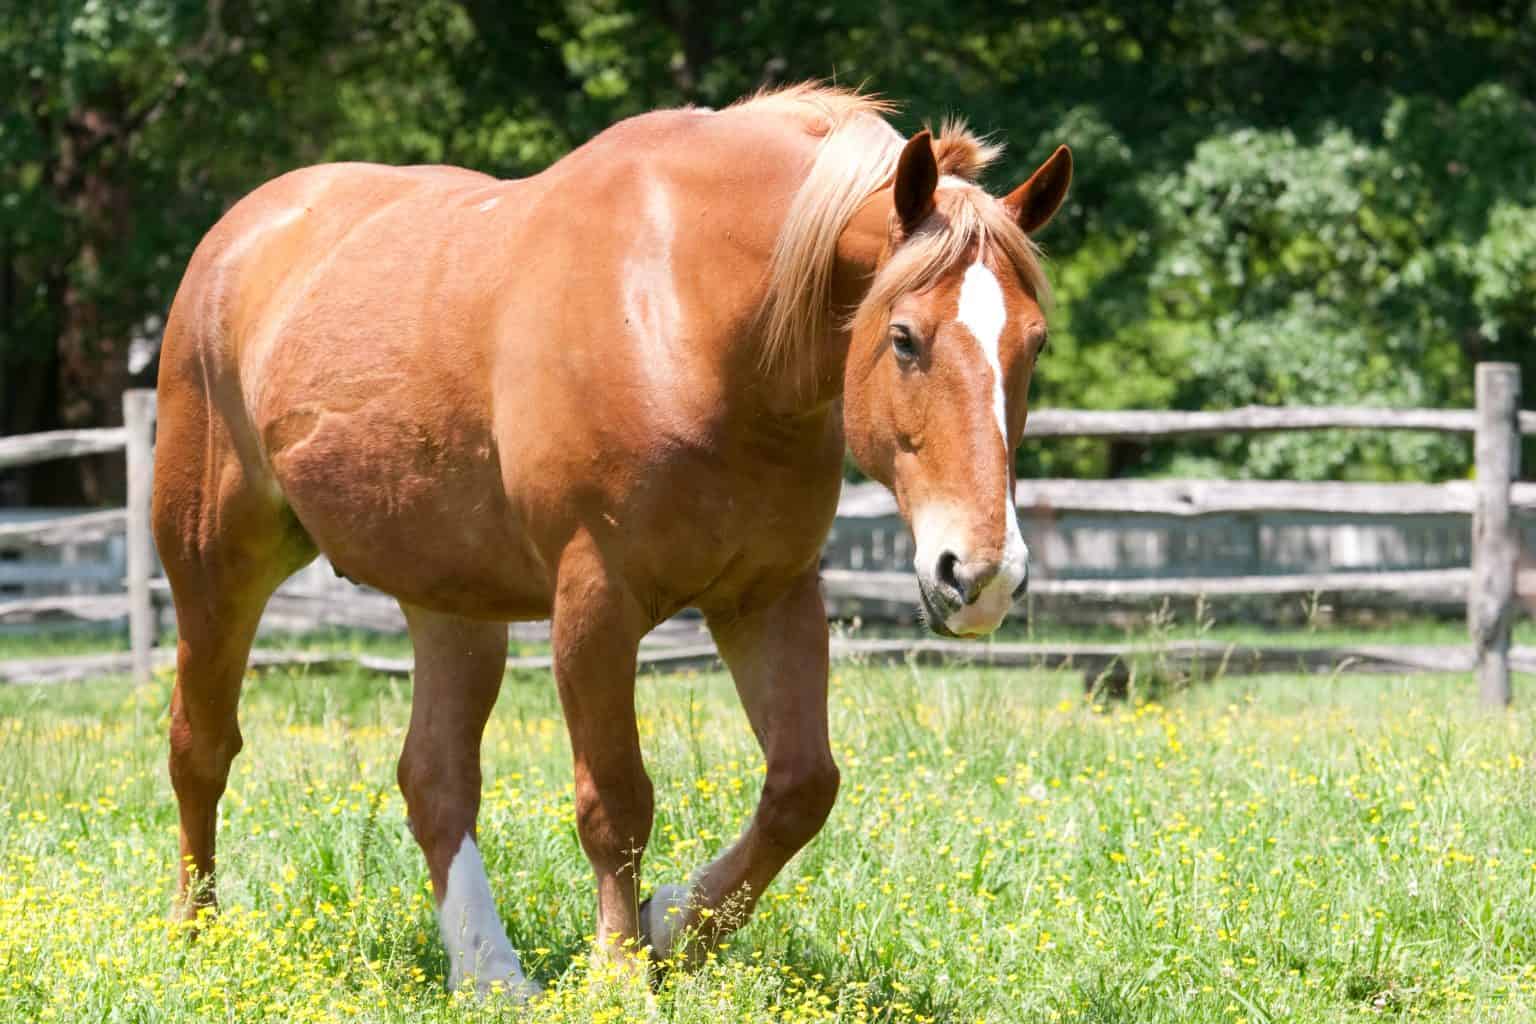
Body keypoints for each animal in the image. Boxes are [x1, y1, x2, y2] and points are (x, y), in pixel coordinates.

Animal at [152, 83, 1071, 998]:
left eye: (1034, 343)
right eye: (905, 337)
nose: (982, 575)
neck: (686, 312)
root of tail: (240, 237)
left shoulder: (768, 597)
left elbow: (802, 789)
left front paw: (674, 930)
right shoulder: (596, 602)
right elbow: (616, 802)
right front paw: (620, 972)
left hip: (451, 601)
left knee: (435, 780)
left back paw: (491, 976)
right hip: (214, 567)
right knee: (202, 747)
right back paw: (198, 938)